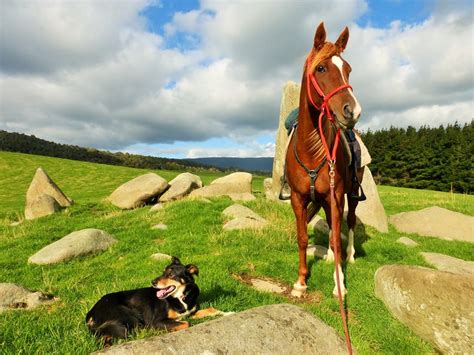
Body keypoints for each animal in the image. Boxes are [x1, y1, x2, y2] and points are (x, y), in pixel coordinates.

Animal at [84, 258, 220, 346]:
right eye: (163, 272)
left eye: (171, 274)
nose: (153, 282)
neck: (180, 297)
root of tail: (91, 312)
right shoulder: (157, 321)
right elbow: (186, 323)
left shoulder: (190, 311)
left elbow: (209, 309)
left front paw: (221, 313)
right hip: (129, 318)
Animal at [286, 22, 362, 300]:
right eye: (321, 68)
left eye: (348, 69)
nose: (353, 111)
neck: (311, 149)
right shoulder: (298, 199)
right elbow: (303, 238)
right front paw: (300, 282)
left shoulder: (336, 195)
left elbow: (337, 236)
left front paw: (339, 284)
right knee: (331, 225)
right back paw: (331, 257)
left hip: (351, 194)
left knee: (348, 223)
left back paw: (349, 257)